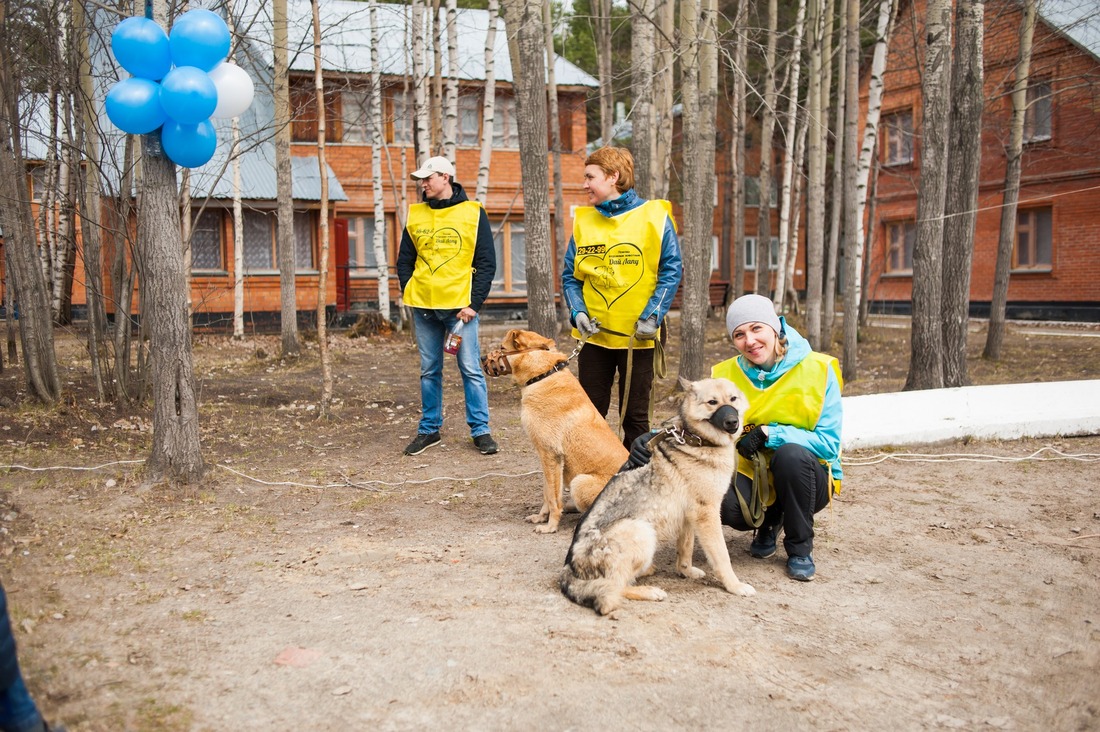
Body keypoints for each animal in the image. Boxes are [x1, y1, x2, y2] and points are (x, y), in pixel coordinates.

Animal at [484, 330, 629, 530]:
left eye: (502, 348)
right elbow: (548, 492)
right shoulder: (546, 458)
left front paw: (551, 526)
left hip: (579, 482)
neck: (544, 374)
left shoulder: (551, 454)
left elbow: (553, 497)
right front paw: (541, 517)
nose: (482, 358)